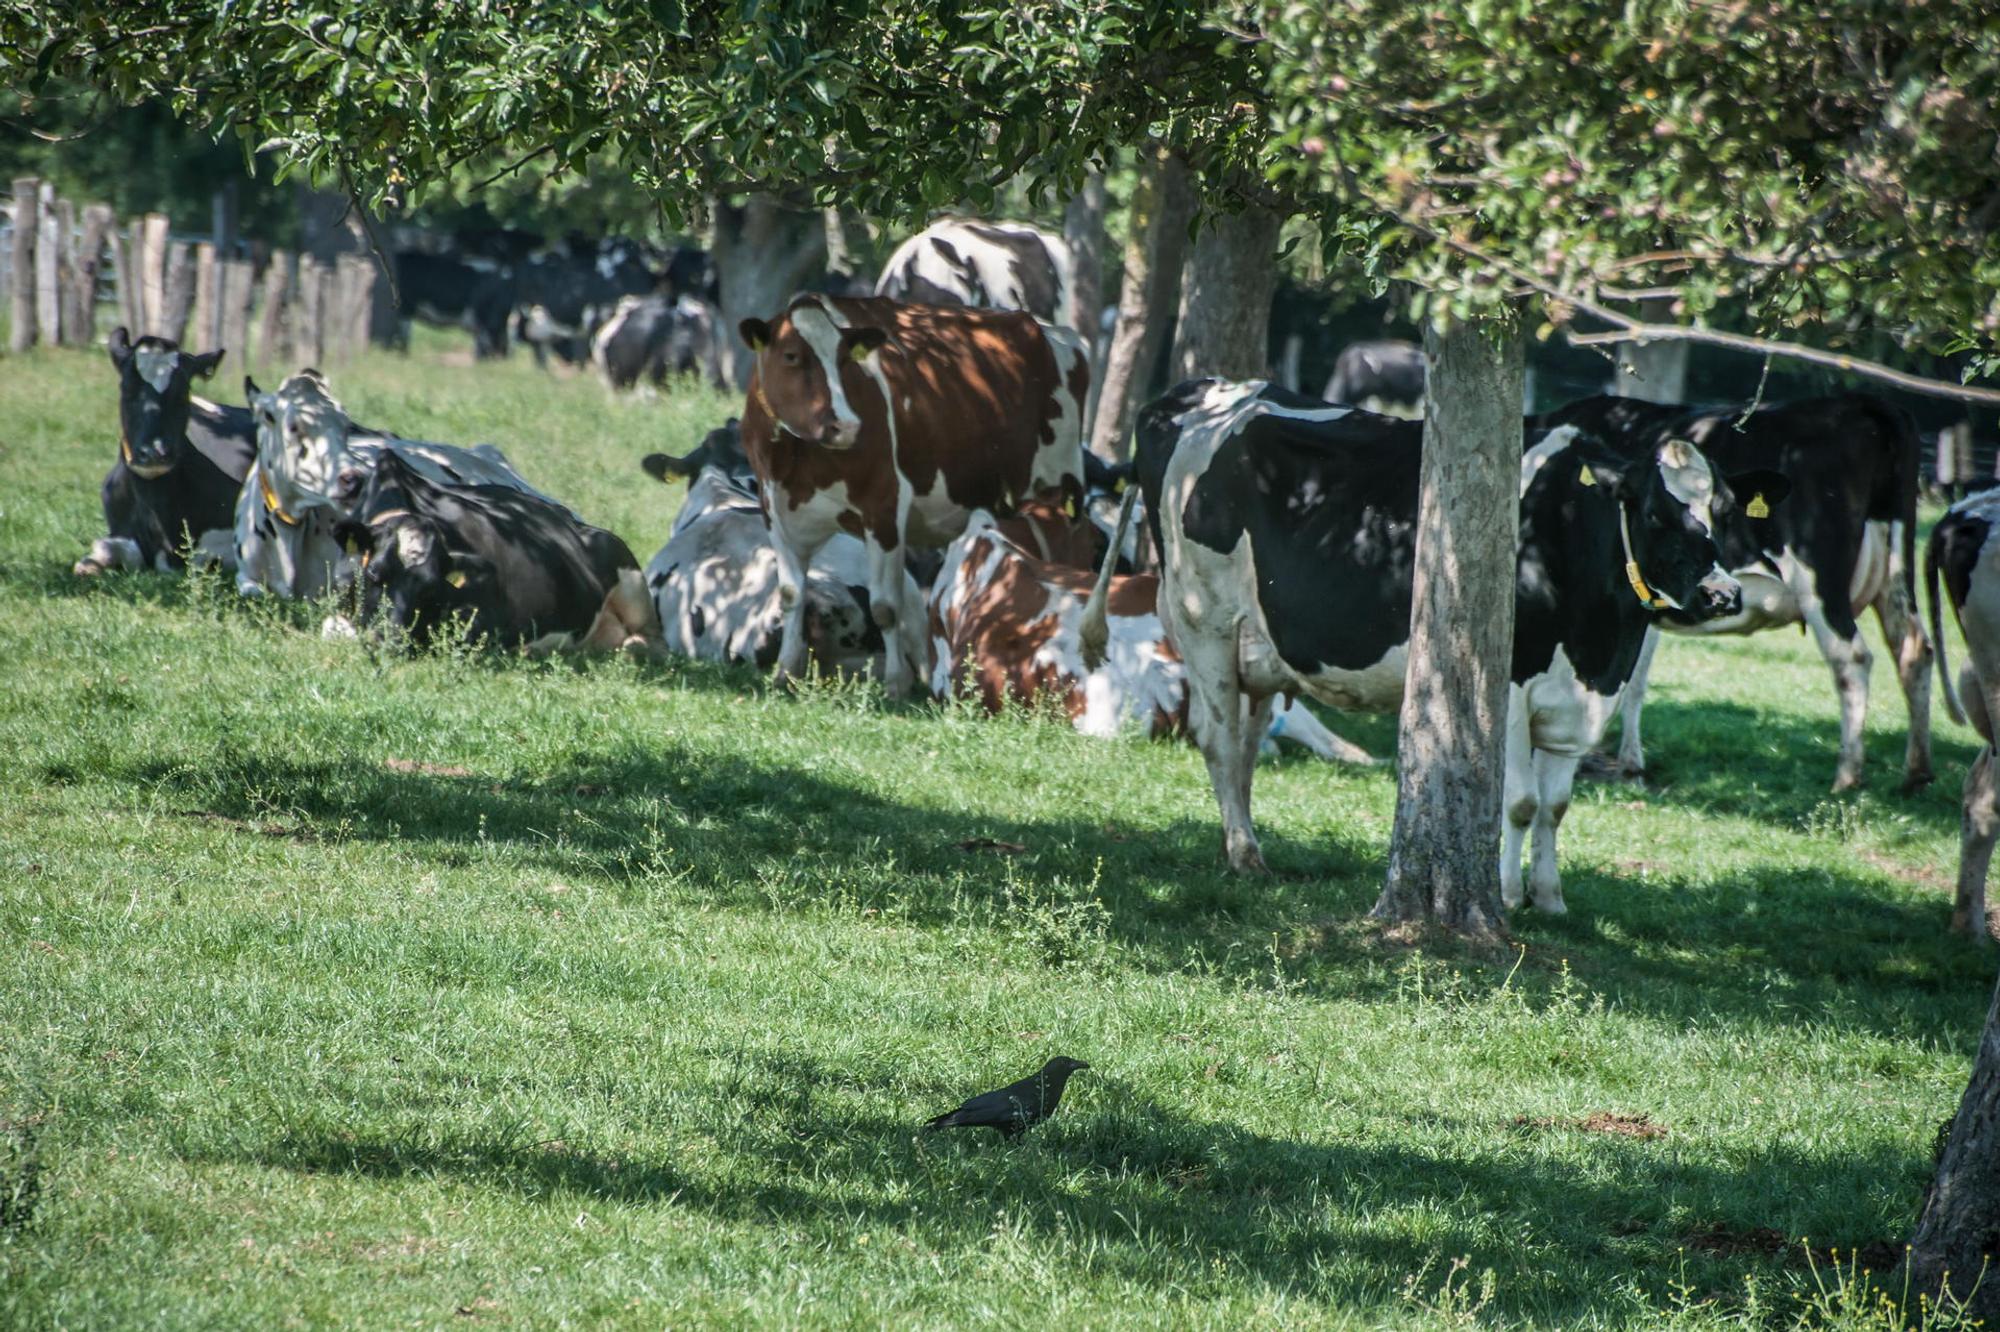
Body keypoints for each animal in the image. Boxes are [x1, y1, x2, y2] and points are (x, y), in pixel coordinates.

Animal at [736, 293, 1090, 696]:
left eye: (844, 360)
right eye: (791, 356)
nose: (846, 425)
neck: (795, 458)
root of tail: (1047, 328)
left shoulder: (884, 506)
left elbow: (885, 606)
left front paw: (895, 683)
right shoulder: (775, 510)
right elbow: (791, 594)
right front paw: (785, 672)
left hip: (1064, 489)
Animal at [1122, 378, 1786, 911]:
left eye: (1724, 510)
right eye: (1653, 513)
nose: (1722, 595)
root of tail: (1196, 392)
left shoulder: (1582, 698)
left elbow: (1556, 805)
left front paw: (1550, 898)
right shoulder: (1510, 685)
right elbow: (1519, 802)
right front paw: (1510, 895)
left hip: (1261, 650)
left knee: (1248, 743)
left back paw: (1247, 841)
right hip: (1204, 620)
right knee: (1218, 738)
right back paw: (1243, 853)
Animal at [1541, 393, 1932, 793]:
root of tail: (1861, 402)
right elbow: (1631, 679)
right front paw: (1627, 762)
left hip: (1820, 579)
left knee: (1852, 659)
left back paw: (1847, 776)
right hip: (1895, 572)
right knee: (1913, 648)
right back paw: (1916, 773)